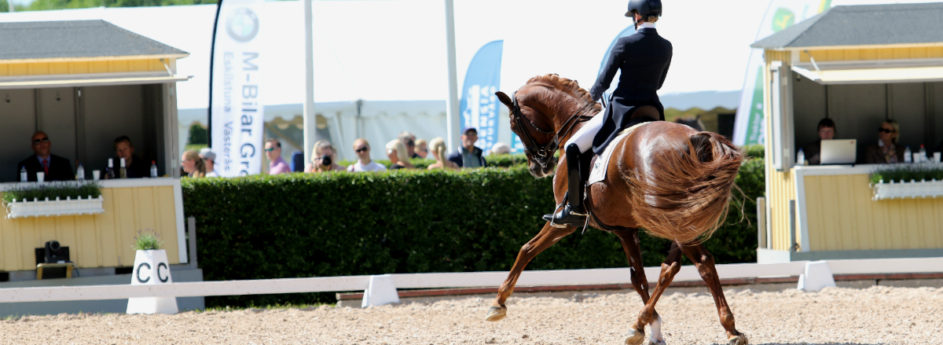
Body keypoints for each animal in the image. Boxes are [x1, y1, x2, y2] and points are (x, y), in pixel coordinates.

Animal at [486, 74, 744, 342]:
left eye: (514, 125)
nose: (537, 167)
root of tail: (696, 138)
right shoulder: (625, 229)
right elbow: (637, 277)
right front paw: (653, 328)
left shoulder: (564, 221)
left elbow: (527, 249)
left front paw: (498, 303)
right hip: (679, 218)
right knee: (675, 266)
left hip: (672, 218)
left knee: (700, 262)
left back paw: (728, 328)